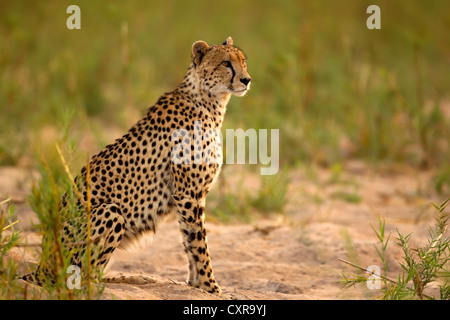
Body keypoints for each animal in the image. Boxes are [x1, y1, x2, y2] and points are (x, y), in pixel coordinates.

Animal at [22, 36, 251, 294]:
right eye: (226, 63)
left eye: (243, 61)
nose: (246, 79)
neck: (209, 101)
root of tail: (42, 264)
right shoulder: (188, 194)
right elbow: (198, 243)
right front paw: (210, 287)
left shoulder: (187, 196)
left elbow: (188, 240)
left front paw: (194, 284)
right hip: (110, 212)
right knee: (86, 278)